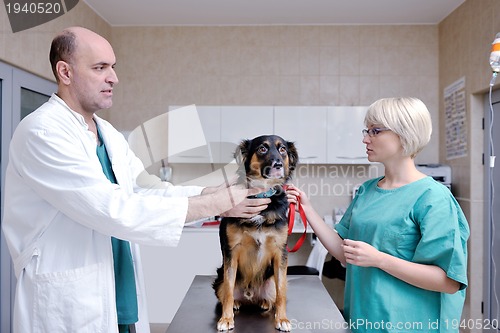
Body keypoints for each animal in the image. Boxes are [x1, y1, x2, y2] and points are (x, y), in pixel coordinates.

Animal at [214, 134, 298, 330]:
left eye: (282, 149)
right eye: (262, 149)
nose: (278, 165)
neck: (262, 194)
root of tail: (250, 294)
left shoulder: (280, 252)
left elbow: (281, 292)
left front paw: (282, 319)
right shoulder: (231, 251)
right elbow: (228, 290)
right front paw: (226, 319)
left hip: (270, 281)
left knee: (273, 294)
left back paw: (265, 302)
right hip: (219, 277)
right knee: (227, 292)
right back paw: (236, 303)